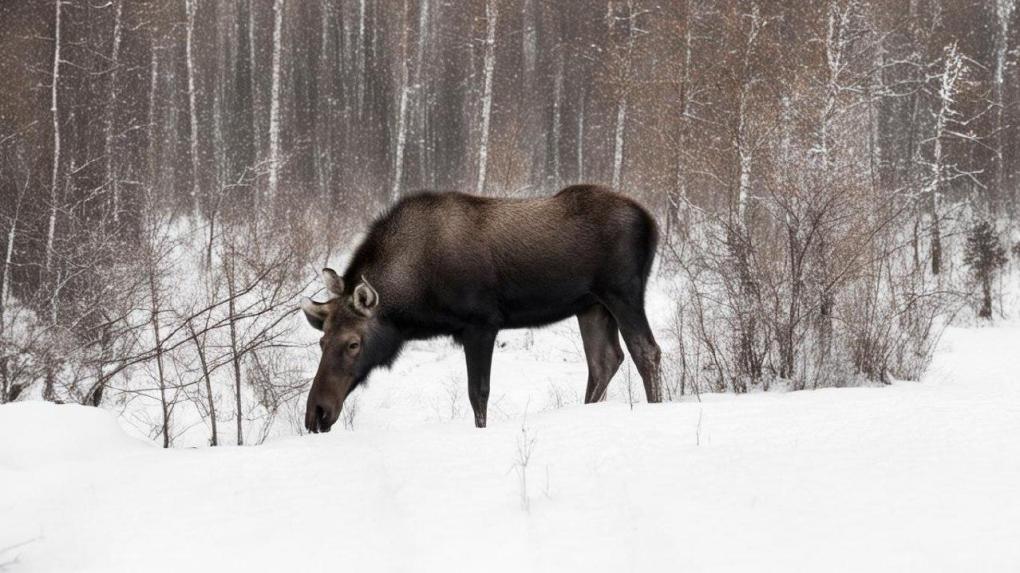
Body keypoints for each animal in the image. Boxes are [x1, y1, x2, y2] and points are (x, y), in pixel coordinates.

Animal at [297, 185, 660, 430]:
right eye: (322, 341)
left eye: (353, 343)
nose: (317, 412)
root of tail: (652, 222)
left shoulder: (481, 323)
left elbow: (478, 394)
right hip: (591, 305)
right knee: (604, 360)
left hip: (622, 292)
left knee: (646, 351)